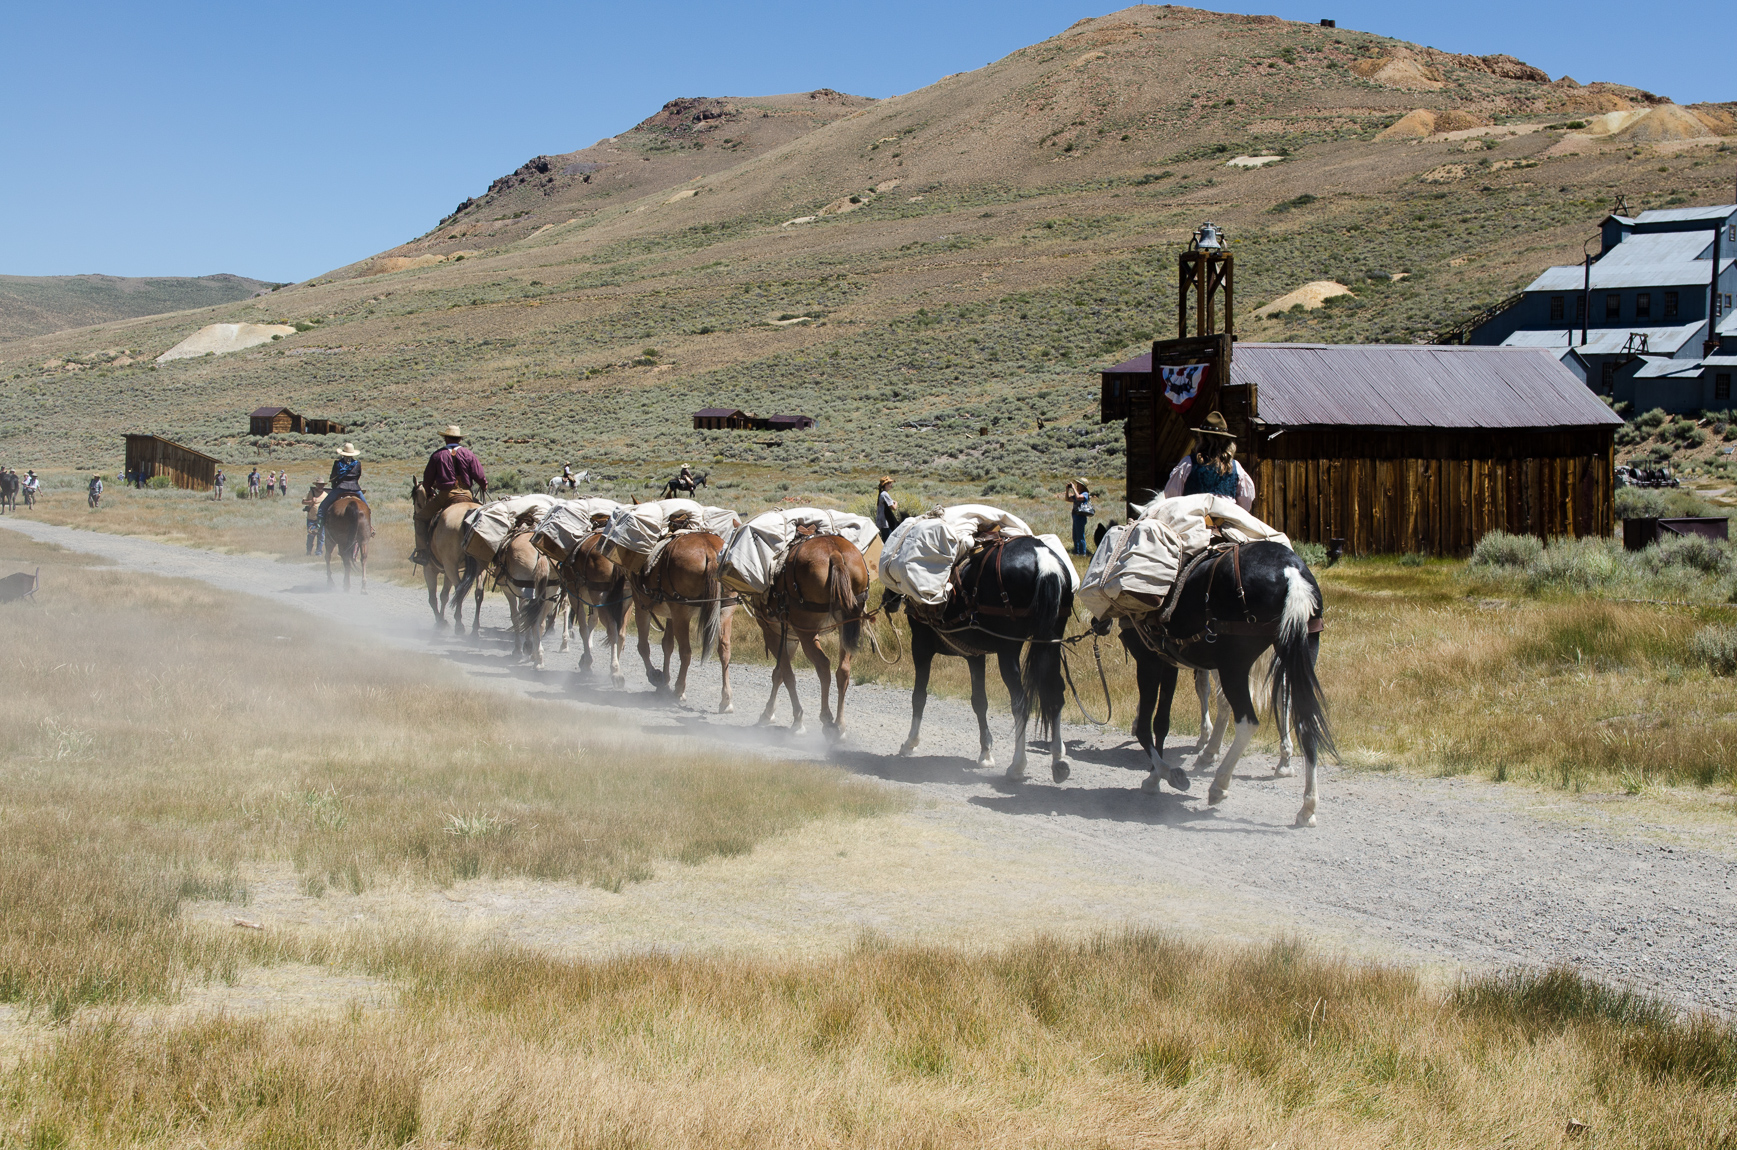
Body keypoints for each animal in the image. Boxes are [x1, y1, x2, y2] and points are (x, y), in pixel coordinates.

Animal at [632, 531, 733, 712]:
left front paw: (656, 677)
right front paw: (664, 682)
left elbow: (643, 646)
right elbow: (667, 645)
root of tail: (709, 549)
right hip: (725, 611)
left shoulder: (641, 606)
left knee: (686, 652)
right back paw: (726, 700)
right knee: (724, 651)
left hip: (681, 614)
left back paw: (679, 690)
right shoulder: (671, 615)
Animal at [753, 531, 875, 740]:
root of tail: (834, 552)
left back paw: (827, 719)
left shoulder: (772, 631)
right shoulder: (791, 636)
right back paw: (840, 725)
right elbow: (779, 673)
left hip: (806, 632)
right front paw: (768, 713)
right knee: (843, 670)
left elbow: (786, 674)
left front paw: (796, 720)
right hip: (847, 625)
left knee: (823, 665)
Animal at [882, 528, 1069, 785]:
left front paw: (910, 743)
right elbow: (979, 701)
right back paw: (1058, 759)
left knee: (1020, 702)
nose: (887, 600)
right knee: (1055, 694)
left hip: (1008, 650)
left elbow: (919, 696)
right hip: (1051, 643)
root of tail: (1044, 560)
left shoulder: (920, 646)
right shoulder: (975, 656)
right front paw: (986, 753)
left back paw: (1017, 765)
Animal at [1111, 541, 1327, 830]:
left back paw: (1219, 784)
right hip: (1300, 650)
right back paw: (1307, 807)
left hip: (1234, 666)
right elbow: (1163, 721)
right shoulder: (1170, 663)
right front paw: (1161, 773)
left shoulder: (1149, 660)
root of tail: (1290, 571)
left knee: (1246, 720)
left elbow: (1149, 723)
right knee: (1304, 721)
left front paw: (1160, 776)